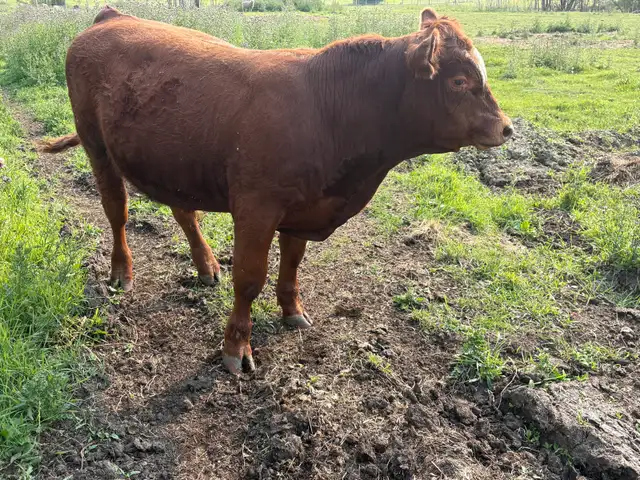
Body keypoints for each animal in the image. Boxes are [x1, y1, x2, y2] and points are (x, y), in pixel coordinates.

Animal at [42, 6, 513, 374]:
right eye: (458, 81)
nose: (506, 128)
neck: (330, 109)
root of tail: (113, 17)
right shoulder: (257, 208)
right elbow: (250, 279)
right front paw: (236, 348)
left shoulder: (303, 208)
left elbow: (292, 264)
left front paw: (292, 312)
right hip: (96, 145)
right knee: (116, 209)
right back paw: (122, 272)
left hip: (175, 160)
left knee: (183, 211)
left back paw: (206, 265)